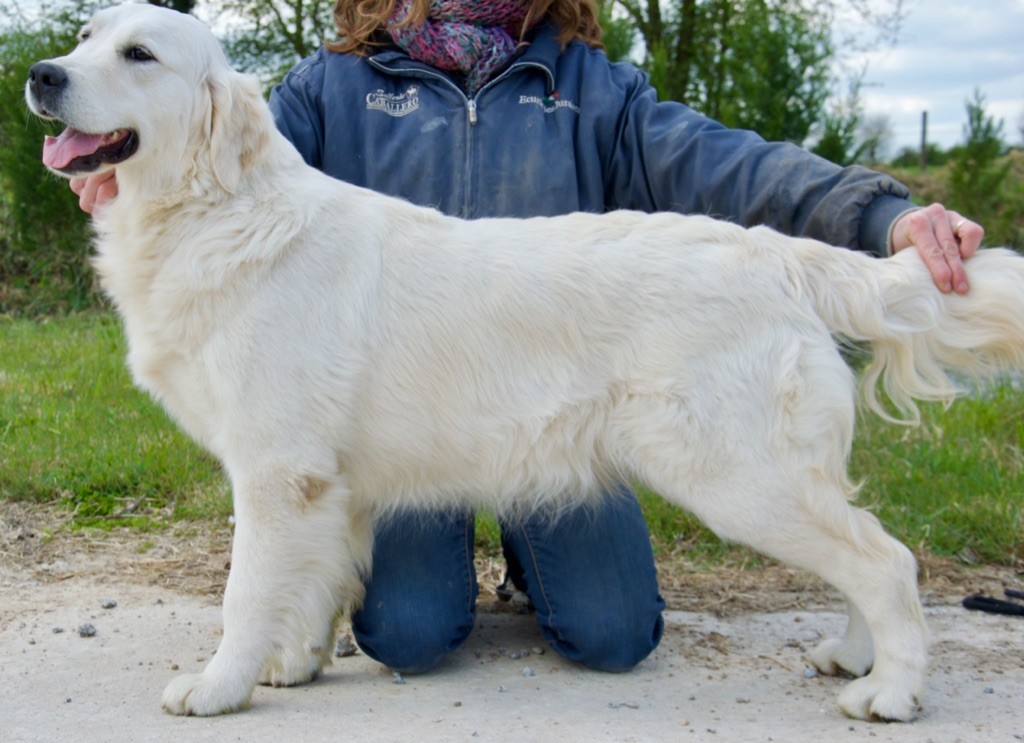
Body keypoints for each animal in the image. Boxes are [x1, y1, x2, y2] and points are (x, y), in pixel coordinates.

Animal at [24, 2, 1024, 724]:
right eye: (84, 37)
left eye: (140, 55)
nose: (41, 73)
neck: (214, 209)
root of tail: (777, 252)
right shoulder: (320, 484)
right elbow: (310, 587)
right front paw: (294, 663)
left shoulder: (275, 470)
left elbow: (244, 592)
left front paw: (219, 685)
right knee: (871, 548)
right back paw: (855, 653)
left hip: (741, 476)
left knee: (886, 560)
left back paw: (890, 690)